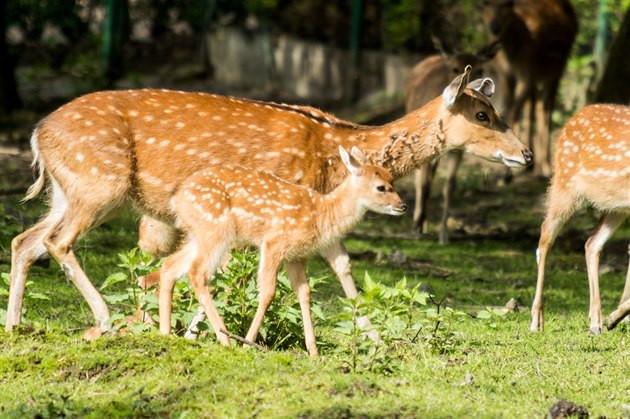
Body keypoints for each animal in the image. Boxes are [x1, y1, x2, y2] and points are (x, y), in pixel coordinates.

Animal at [158, 146, 404, 356]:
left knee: (169, 266)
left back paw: (166, 332)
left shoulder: (297, 256)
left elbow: (304, 293)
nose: (403, 205)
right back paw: (226, 339)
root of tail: (177, 198)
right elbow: (268, 292)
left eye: (392, 180)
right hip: (216, 231)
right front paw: (248, 343)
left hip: (199, 234)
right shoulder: (274, 243)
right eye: (381, 187)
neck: (321, 214)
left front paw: (313, 351)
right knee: (197, 273)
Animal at [408, 39, 506, 244]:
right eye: (454, 68)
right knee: (420, 179)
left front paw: (443, 235)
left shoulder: (459, 150)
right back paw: (417, 223)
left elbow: (450, 185)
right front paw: (417, 228)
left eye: (481, 68)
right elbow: (424, 184)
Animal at [486, 0, 580, 179]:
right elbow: (510, 109)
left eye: (508, 3)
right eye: (484, 4)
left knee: (545, 110)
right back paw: (533, 164)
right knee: (533, 106)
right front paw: (506, 171)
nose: (494, 27)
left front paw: (505, 173)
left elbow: (514, 111)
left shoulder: (527, 73)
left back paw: (543, 167)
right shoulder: (504, 75)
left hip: (556, 69)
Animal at [532, 104, 630, 334]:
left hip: (616, 205)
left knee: (592, 243)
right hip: (564, 183)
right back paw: (536, 321)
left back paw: (597, 322)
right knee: (545, 237)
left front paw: (616, 317)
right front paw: (617, 317)